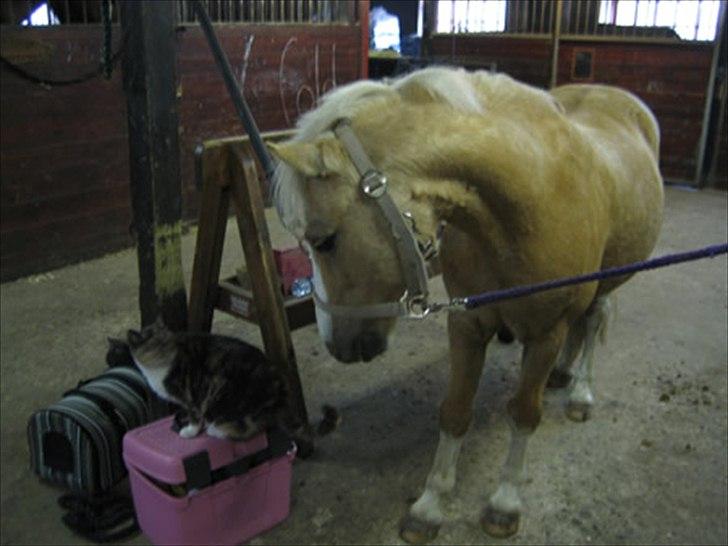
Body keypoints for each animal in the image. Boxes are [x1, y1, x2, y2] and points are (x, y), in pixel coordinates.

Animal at [128, 316, 290, 440]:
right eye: (157, 346)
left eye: (170, 341)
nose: (169, 349)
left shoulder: (190, 394)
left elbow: (194, 415)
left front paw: (190, 431)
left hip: (227, 397)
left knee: (247, 429)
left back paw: (215, 430)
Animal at [268, 68, 664, 540]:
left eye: (324, 240)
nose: (336, 345)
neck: (527, 206)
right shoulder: (467, 325)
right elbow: (454, 412)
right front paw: (430, 505)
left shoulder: (545, 333)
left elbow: (524, 413)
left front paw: (505, 502)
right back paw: (563, 374)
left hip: (607, 280)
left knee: (594, 320)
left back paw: (581, 392)